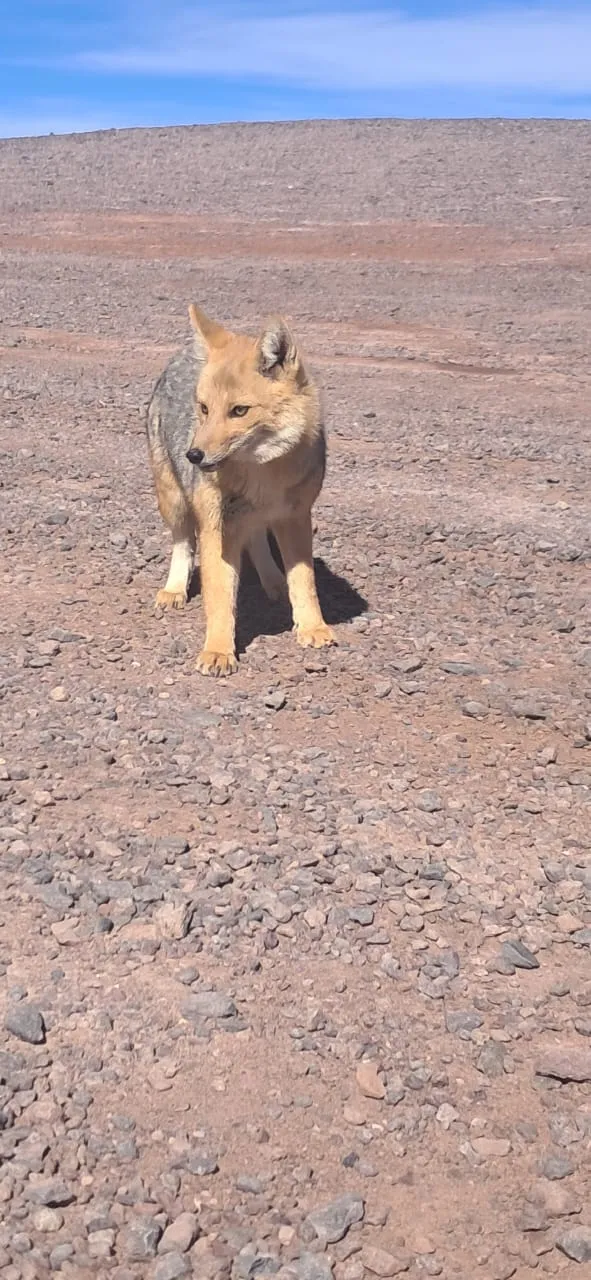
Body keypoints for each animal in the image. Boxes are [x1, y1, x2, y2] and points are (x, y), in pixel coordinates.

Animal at [145, 305, 336, 676]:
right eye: (204, 409)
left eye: (239, 411)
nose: (193, 455)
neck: (263, 476)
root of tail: (181, 353)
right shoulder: (217, 529)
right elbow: (220, 595)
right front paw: (218, 650)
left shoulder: (296, 517)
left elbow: (304, 580)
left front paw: (312, 626)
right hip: (173, 501)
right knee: (183, 542)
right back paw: (175, 588)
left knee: (257, 537)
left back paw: (273, 580)